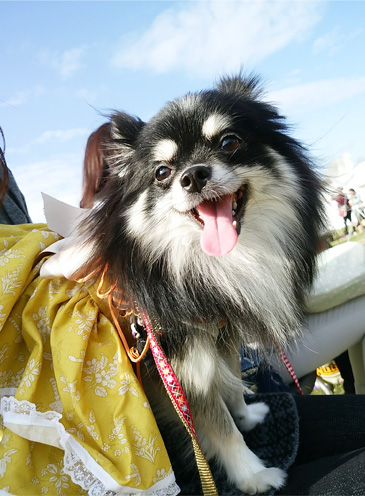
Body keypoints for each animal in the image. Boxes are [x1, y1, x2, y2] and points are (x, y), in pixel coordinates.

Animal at [75, 75, 322, 494]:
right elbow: (220, 428)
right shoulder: (183, 371)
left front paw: (246, 415)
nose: (192, 176)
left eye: (229, 142)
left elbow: (231, 385)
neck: (210, 267)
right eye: (162, 172)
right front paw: (253, 474)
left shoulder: (220, 337)